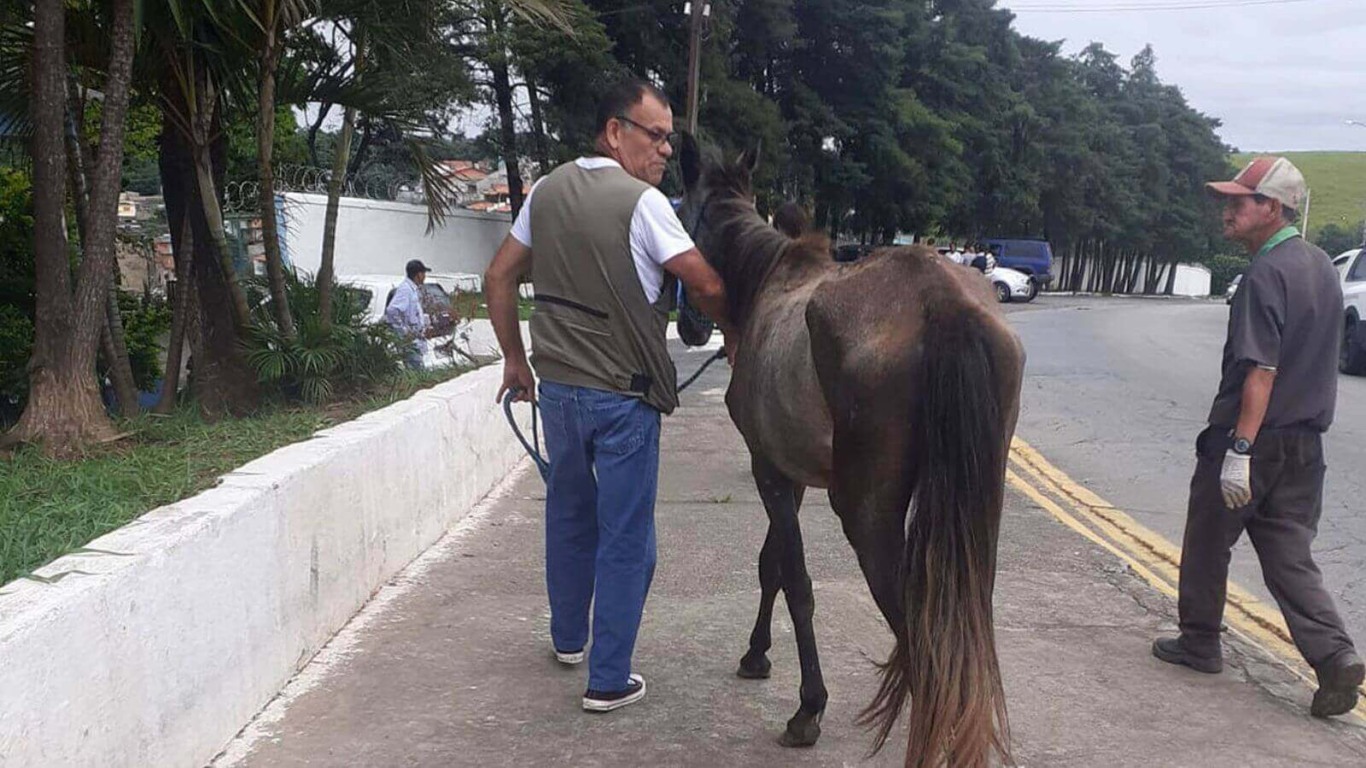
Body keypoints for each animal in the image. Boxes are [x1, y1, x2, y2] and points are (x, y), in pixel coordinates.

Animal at [676, 136, 1025, 768]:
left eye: (678, 211)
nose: (689, 326)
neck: (767, 282)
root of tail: (942, 302)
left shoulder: (769, 470)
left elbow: (794, 581)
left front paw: (808, 706)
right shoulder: (790, 476)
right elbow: (771, 567)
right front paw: (756, 654)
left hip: (867, 515)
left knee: (924, 639)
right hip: (976, 520)